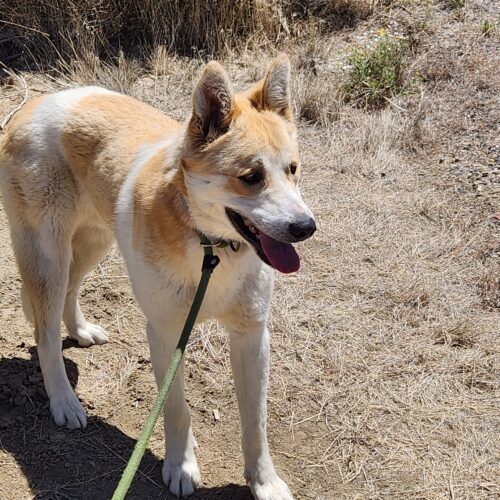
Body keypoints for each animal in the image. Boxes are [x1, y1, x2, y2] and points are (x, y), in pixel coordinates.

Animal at [0, 54, 316, 496]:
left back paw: (80, 330)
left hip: (95, 241)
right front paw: (180, 465)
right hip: (49, 256)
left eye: (292, 169)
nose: (306, 227)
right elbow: (177, 408)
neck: (210, 247)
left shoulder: (252, 335)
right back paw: (63, 400)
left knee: (71, 290)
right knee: (44, 334)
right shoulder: (166, 333)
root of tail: (33, 104)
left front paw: (264, 482)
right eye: (251, 177)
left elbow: (256, 423)